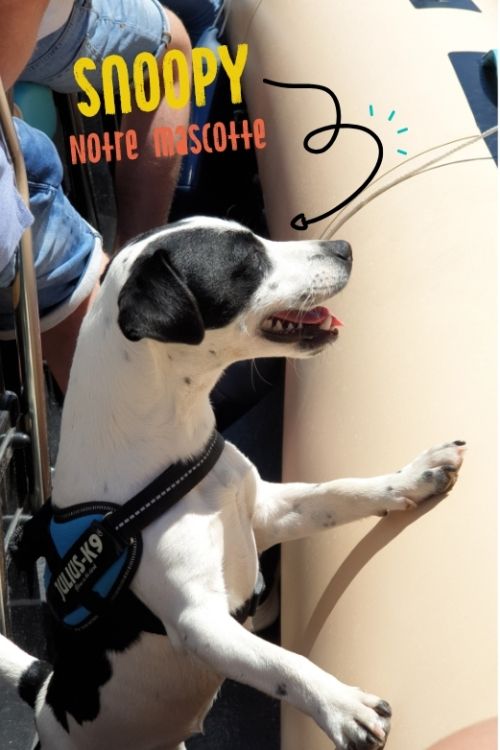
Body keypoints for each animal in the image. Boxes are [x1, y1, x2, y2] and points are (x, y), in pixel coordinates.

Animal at [0, 219, 464, 750]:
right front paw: (341, 705)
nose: (344, 247)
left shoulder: (267, 513)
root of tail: (44, 692)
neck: (174, 455)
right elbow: (283, 663)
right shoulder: (199, 621)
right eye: (248, 262)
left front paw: (413, 477)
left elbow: (339, 492)